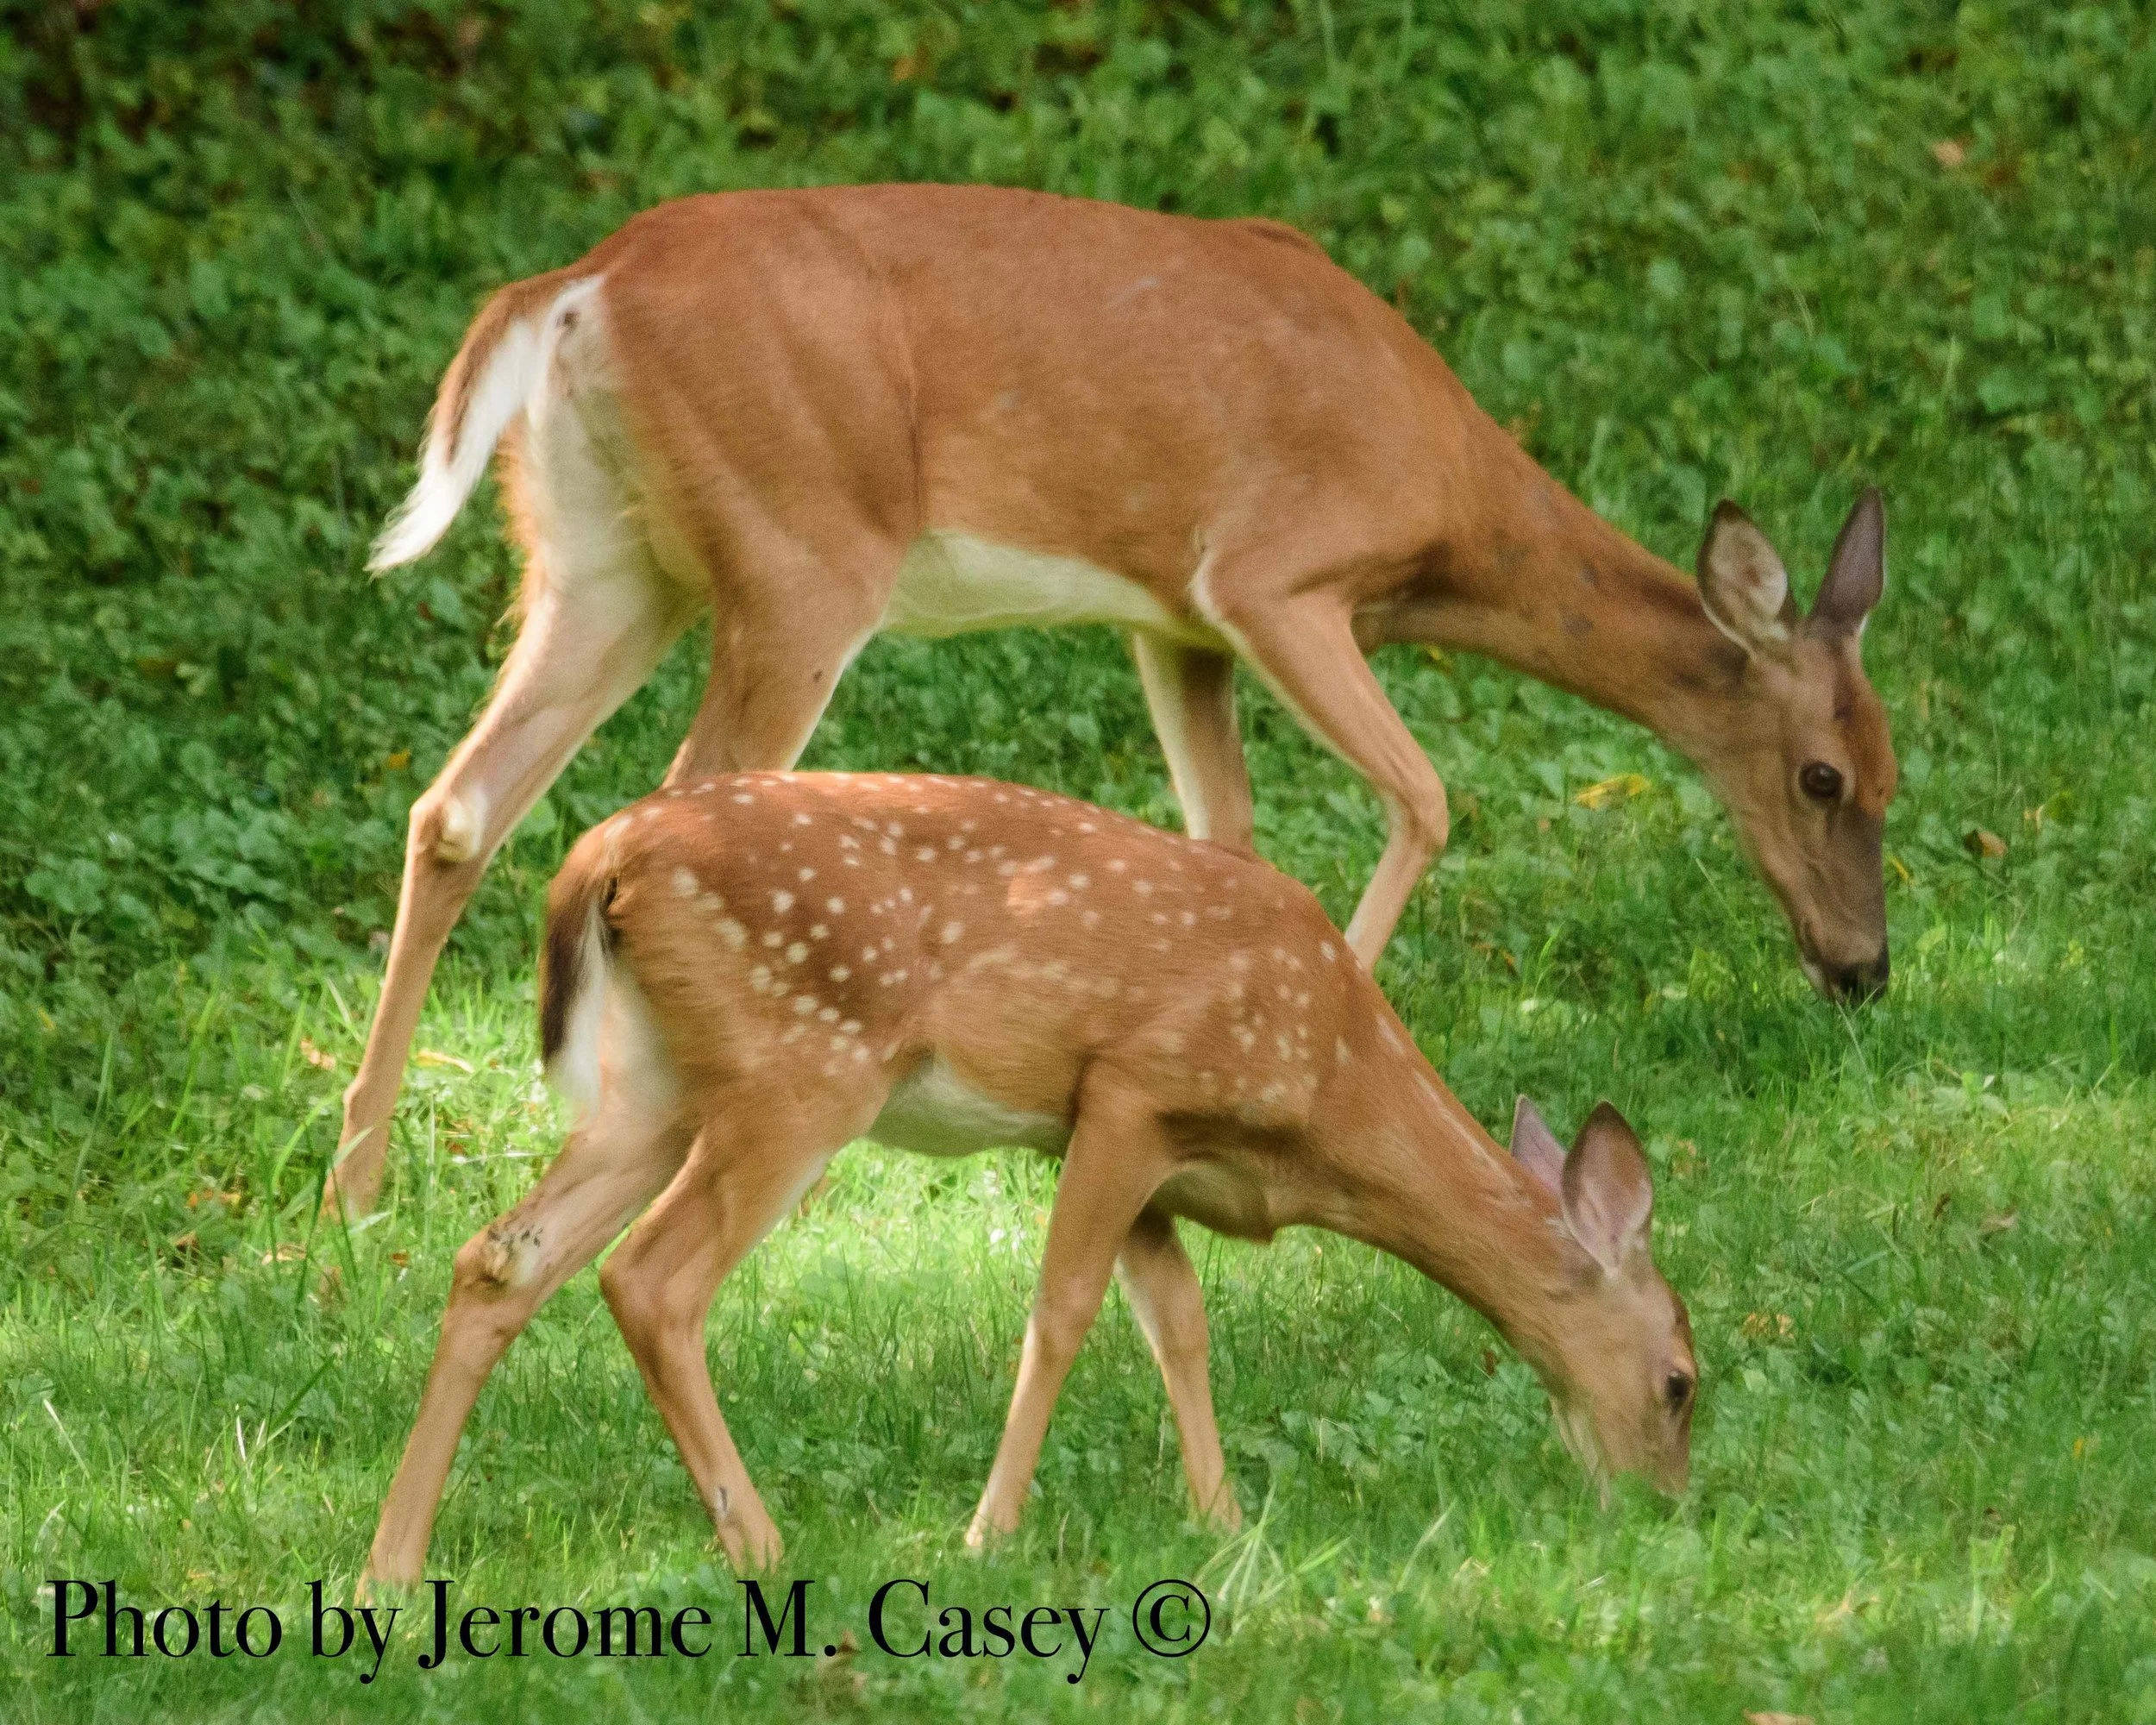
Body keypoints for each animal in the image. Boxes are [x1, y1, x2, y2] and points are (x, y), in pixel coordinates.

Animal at [333, 182, 1894, 1218]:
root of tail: (574, 287)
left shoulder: (1169, 620)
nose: (1865, 970)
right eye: (1823, 777)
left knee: (457, 806)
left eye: (1895, 782)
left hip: (607, 557)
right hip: (797, 557)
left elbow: (1228, 838)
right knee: (664, 802)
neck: (1451, 500)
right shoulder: (1273, 577)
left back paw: (357, 1180)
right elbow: (1427, 797)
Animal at [362, 771, 1697, 1588]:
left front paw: (1222, 1525)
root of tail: (604, 854)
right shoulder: (1127, 1090)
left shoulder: (1137, 1154)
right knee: (652, 1276)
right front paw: (987, 1532)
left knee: (500, 1258)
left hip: (655, 1085)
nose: (1666, 1505)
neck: (1330, 1087)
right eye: (1682, 1381)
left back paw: (392, 1562)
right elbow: (1062, 1312)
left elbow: (1179, 1323)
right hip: (804, 1067)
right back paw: (764, 1544)